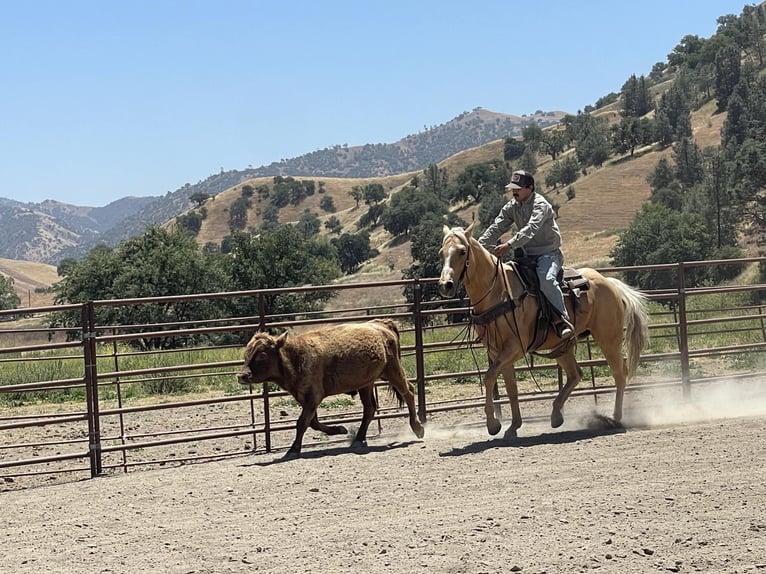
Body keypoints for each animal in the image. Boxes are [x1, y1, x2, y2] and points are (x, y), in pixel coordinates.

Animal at [238, 320, 426, 460]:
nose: (242, 376)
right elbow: (313, 422)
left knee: (408, 392)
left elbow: (302, 423)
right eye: (247, 352)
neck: (295, 356)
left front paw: (293, 450)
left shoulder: (313, 396)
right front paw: (340, 429)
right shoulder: (306, 398)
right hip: (366, 383)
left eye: (262, 354)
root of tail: (381, 324)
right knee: (370, 408)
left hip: (393, 371)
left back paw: (417, 428)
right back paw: (359, 439)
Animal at [438, 224, 648, 436]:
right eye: (441, 253)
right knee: (575, 374)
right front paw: (513, 426)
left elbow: (489, 377)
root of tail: (609, 283)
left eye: (462, 251)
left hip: (608, 339)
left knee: (619, 373)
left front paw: (493, 424)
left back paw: (615, 418)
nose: (446, 285)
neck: (499, 292)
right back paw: (556, 415)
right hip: (562, 347)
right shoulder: (498, 351)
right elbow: (511, 388)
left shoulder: (515, 347)